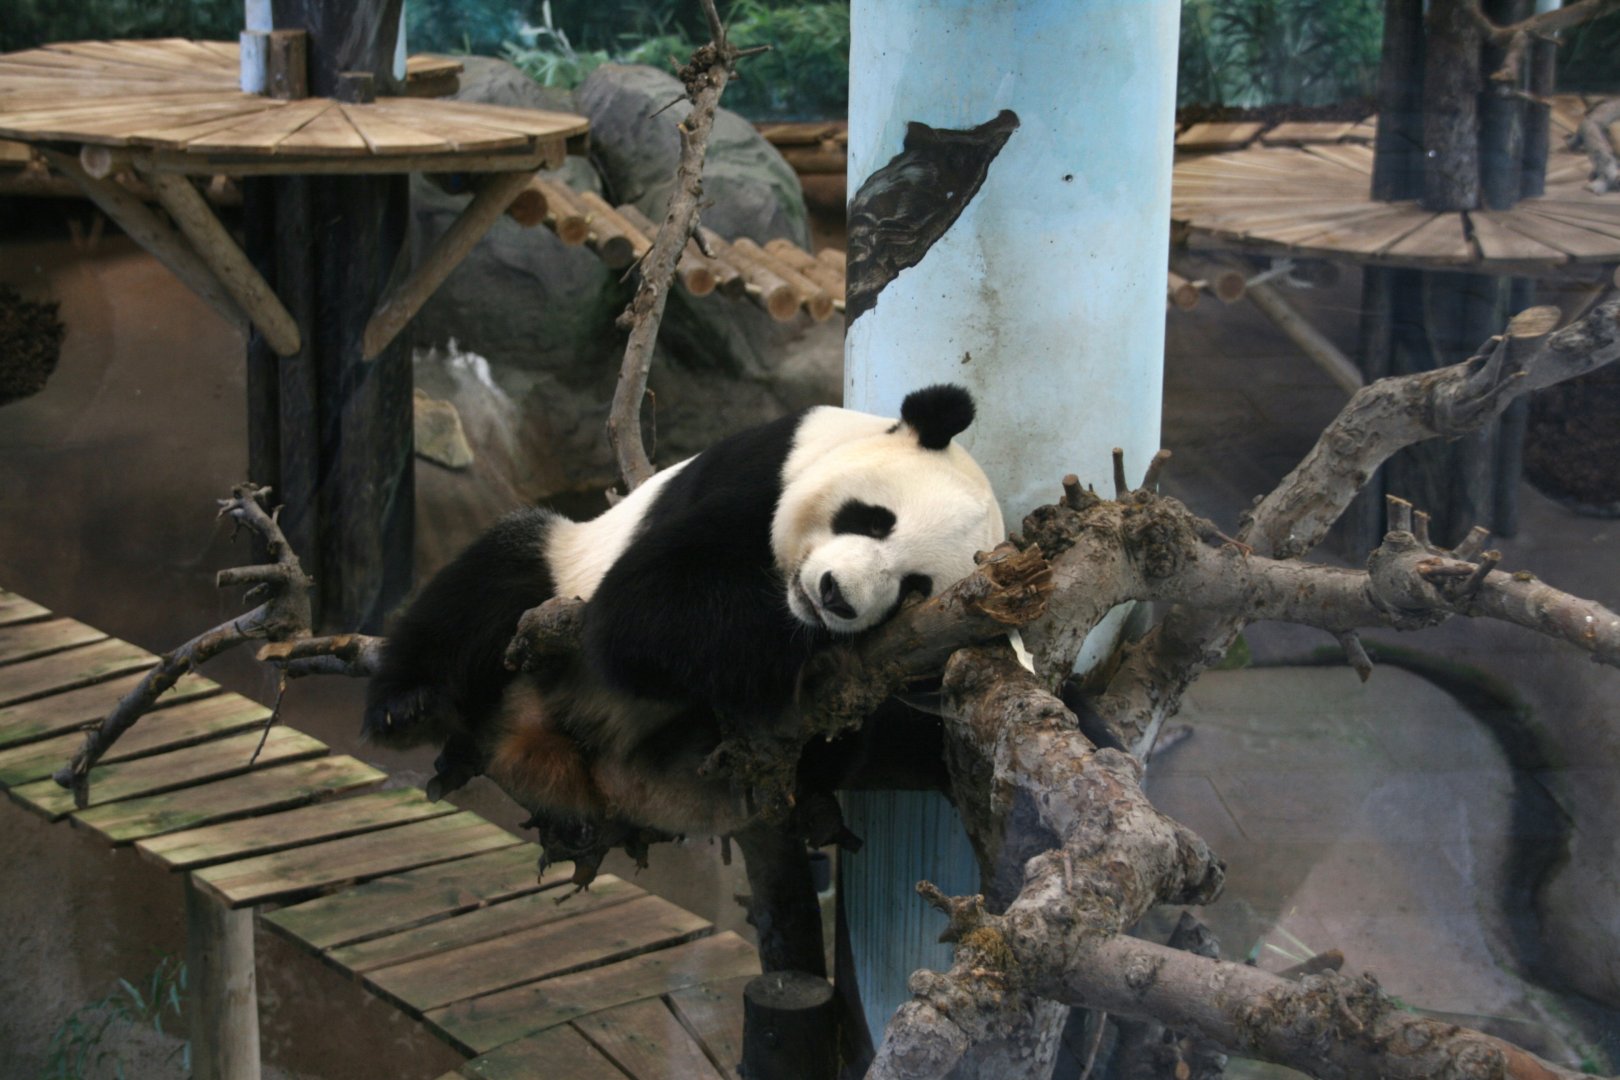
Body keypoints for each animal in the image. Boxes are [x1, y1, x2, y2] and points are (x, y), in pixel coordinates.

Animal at [363, 384, 1003, 837]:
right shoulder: (759, 472)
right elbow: (645, 610)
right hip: (556, 587)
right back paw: (406, 707)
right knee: (493, 579)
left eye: (915, 587)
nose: (835, 596)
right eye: (872, 520)